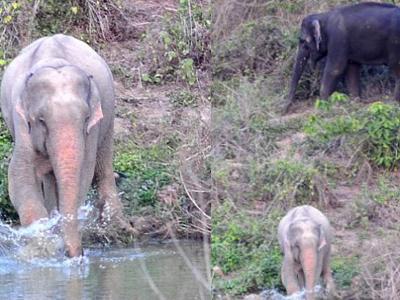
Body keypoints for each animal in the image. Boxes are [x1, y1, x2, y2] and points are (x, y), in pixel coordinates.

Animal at [0, 34, 133, 255]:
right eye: (41, 120)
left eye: (86, 117)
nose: (76, 255)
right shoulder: (20, 121)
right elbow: (20, 175)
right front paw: (44, 241)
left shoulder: (92, 125)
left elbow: (84, 171)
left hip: (109, 112)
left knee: (103, 164)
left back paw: (117, 226)